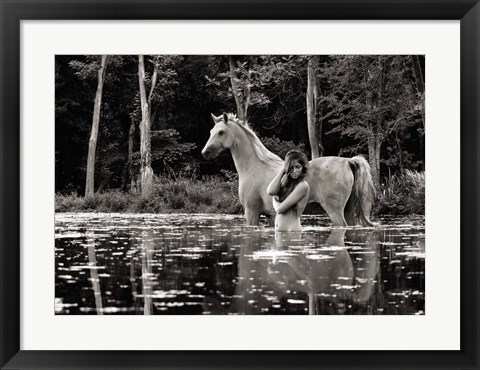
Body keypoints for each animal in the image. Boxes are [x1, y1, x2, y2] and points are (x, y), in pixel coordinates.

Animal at [202, 112, 376, 227]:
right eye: (210, 131)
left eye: (221, 132)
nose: (205, 153)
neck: (254, 167)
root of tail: (348, 162)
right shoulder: (271, 215)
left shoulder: (251, 213)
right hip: (348, 210)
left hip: (335, 211)